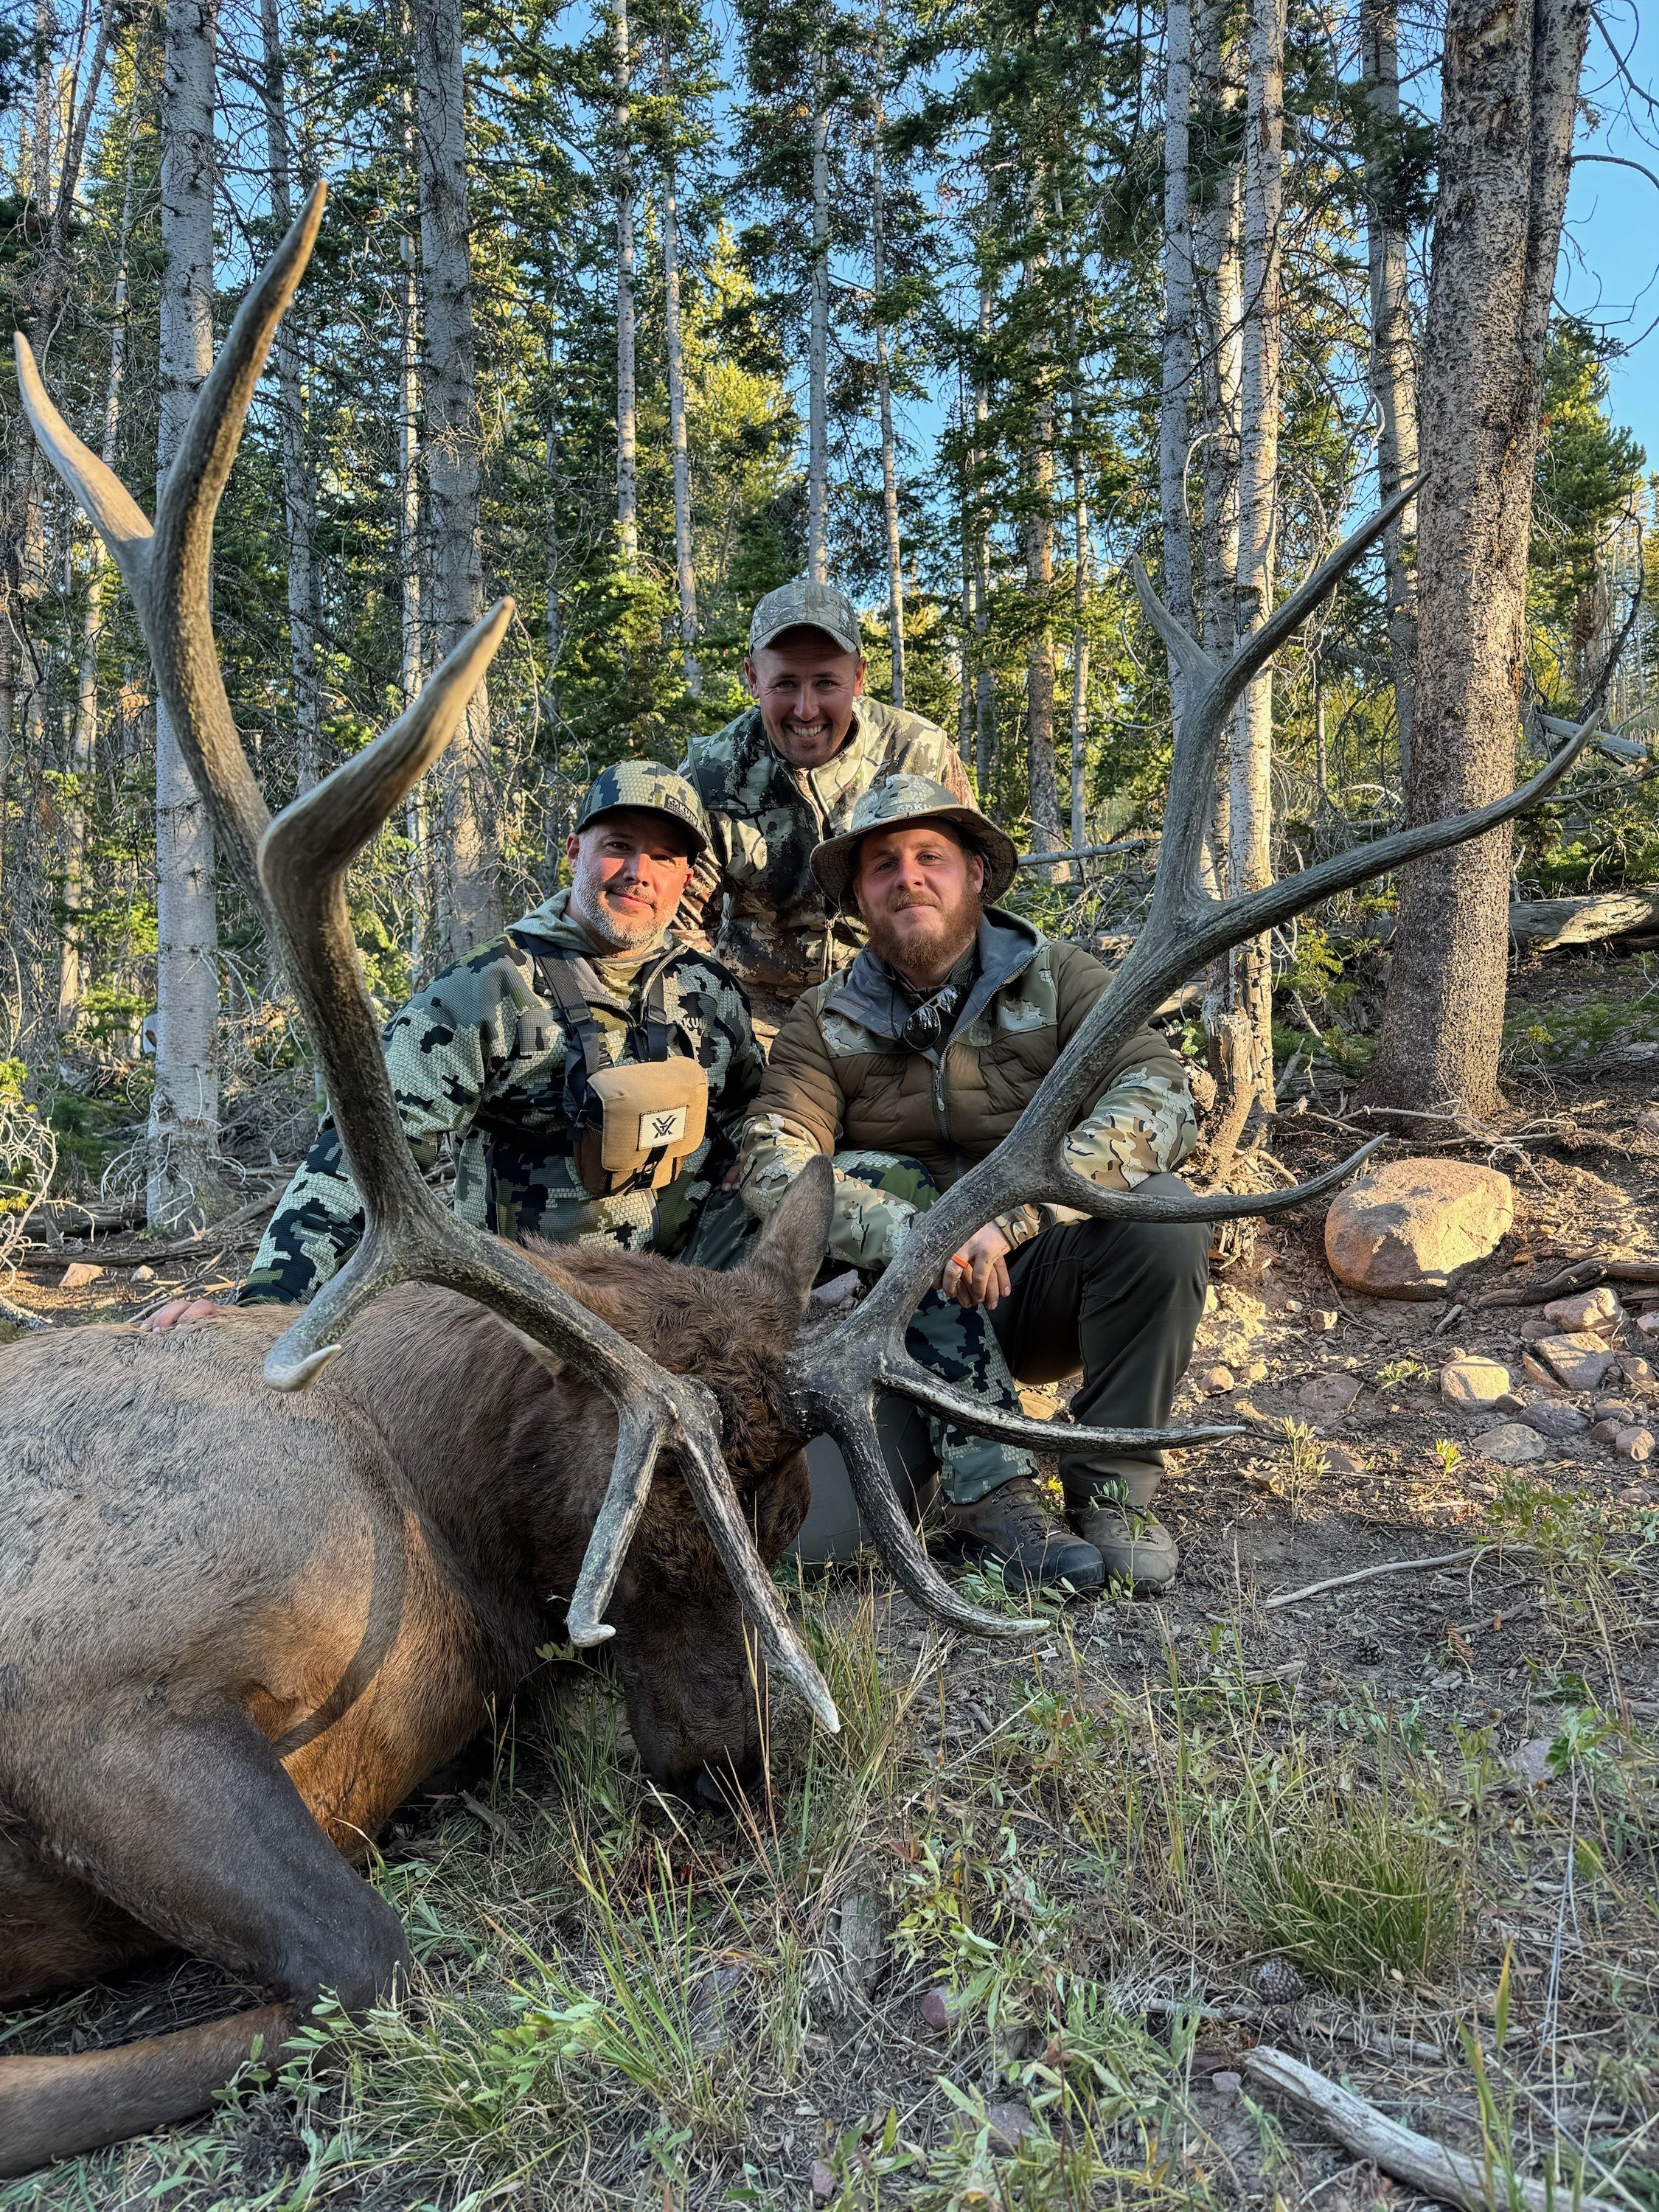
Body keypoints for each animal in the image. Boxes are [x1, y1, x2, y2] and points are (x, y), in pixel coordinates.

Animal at [0, 184, 1595, 2178]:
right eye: (636, 1537)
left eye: (776, 1515)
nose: (755, 1779)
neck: (429, 1514)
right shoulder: (88, 1685)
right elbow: (362, 1967)